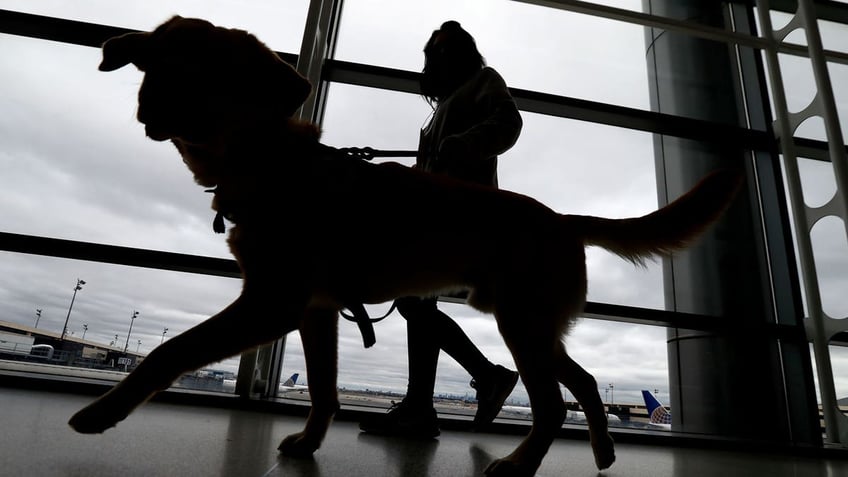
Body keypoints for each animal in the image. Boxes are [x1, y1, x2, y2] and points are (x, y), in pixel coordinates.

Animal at [71, 16, 744, 474]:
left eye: (209, 68)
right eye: (155, 61)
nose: (151, 104)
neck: (270, 163)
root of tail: (561, 218)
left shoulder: (272, 302)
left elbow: (170, 351)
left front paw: (103, 412)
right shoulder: (317, 311)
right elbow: (324, 388)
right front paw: (309, 442)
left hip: (521, 325)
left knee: (554, 403)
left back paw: (519, 464)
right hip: (534, 325)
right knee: (582, 382)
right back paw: (601, 449)